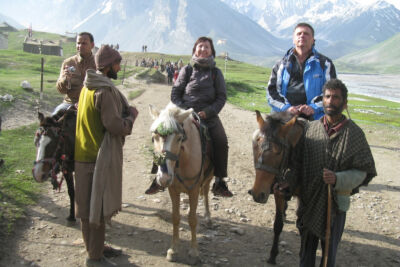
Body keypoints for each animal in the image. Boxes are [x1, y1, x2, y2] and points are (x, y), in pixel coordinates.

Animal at [148, 103, 214, 264]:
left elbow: (192, 219)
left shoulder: (194, 189)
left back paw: (208, 217)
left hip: (209, 177)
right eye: (154, 138)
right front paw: (173, 249)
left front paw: (194, 251)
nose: (164, 178)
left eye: (179, 138)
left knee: (206, 192)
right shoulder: (173, 189)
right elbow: (176, 217)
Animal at [247, 111, 304, 266]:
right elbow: (277, 225)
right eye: (255, 145)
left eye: (278, 152)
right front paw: (272, 255)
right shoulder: (279, 192)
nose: (257, 194)